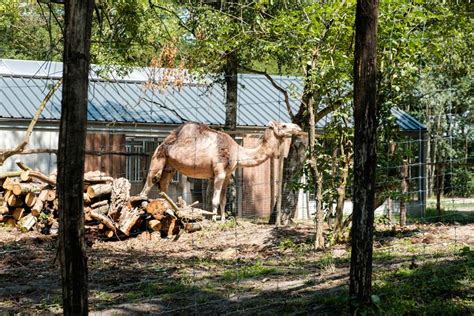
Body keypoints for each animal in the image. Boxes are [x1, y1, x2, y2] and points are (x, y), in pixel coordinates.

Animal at [140, 121, 300, 222]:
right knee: (149, 184)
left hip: (170, 166)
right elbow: (215, 199)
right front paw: (214, 219)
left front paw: (222, 219)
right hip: (158, 158)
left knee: (164, 186)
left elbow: (223, 200)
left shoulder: (227, 175)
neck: (236, 151)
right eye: (284, 125)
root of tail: (163, 142)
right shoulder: (219, 173)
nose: (298, 127)